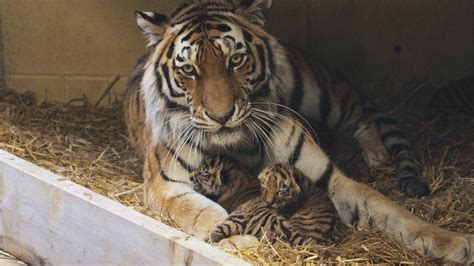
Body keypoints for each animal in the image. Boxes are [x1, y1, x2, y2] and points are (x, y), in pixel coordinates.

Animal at [124, 0, 472, 262]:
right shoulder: (168, 186)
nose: (222, 116)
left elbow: (392, 210)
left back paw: (376, 154)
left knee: (359, 115)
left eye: (236, 60)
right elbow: (205, 212)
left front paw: (457, 242)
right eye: (188, 70)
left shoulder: (328, 178)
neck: (238, 144)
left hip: (320, 94)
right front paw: (240, 242)